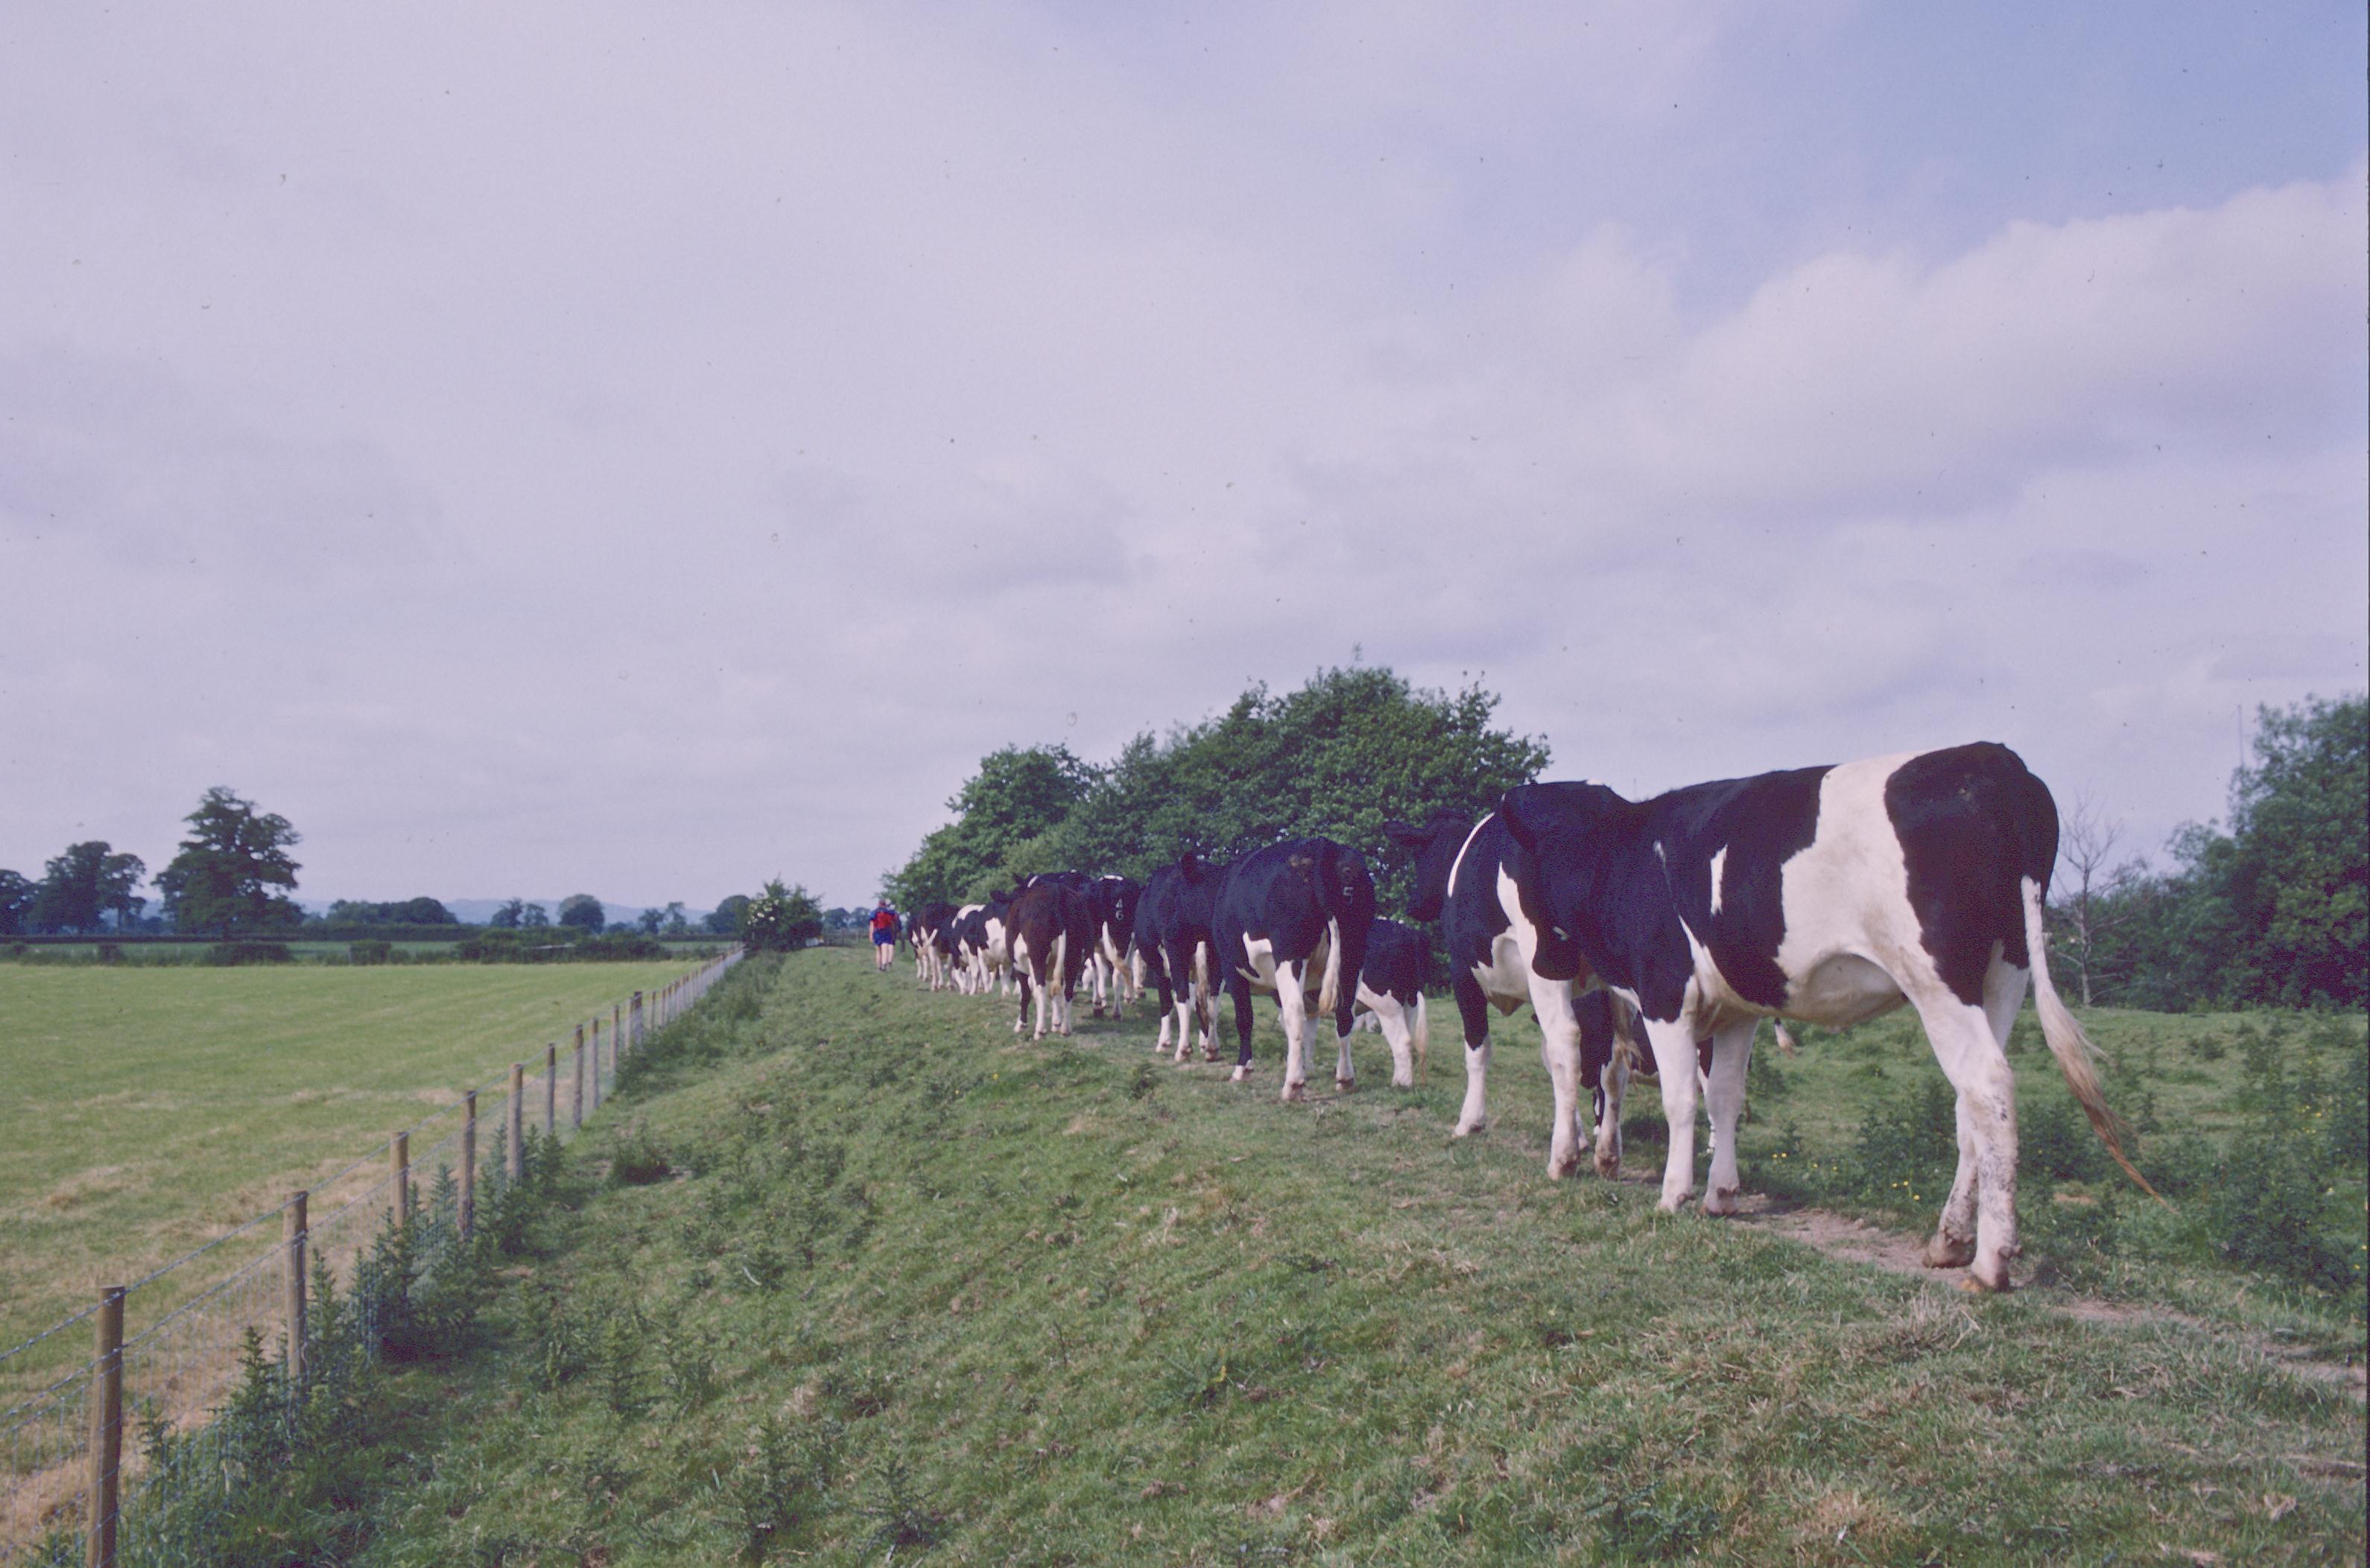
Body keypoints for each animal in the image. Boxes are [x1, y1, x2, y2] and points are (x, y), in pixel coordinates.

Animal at [1006, 878, 1095, 1038]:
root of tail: (1057, 891)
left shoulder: (1018, 965)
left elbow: (1027, 994)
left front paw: (1021, 1024)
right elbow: (1054, 993)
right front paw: (1056, 1023)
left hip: (1038, 955)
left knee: (1041, 988)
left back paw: (1040, 1031)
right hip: (1073, 958)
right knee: (1067, 991)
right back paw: (1065, 1029)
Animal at [1133, 853, 1229, 1063]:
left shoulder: (1160, 961)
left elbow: (1168, 1000)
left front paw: (1164, 1042)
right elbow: (1200, 1001)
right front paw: (1204, 1041)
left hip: (1176, 948)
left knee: (1182, 995)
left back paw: (1183, 1049)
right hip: (1217, 954)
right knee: (1212, 998)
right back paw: (1211, 1048)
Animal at [1210, 838, 1377, 1100]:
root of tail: (1323, 845)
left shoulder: (1232, 966)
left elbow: (1245, 1018)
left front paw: (1243, 1070)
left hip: (1290, 954)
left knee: (1296, 1012)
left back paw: (1293, 1085)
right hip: (1354, 954)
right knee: (1344, 1014)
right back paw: (1345, 1079)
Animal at [1495, 742, 2146, 1292]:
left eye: (1525, 865)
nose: (1540, 957)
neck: (1624, 855)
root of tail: (1995, 759)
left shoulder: (1664, 990)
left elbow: (1681, 1098)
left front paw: (1673, 1194)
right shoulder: (1737, 1008)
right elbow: (1724, 1097)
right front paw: (1720, 1194)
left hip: (1936, 979)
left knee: (1987, 1088)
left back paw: (1989, 1262)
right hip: (2002, 976)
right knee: (1973, 1106)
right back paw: (1950, 1239)